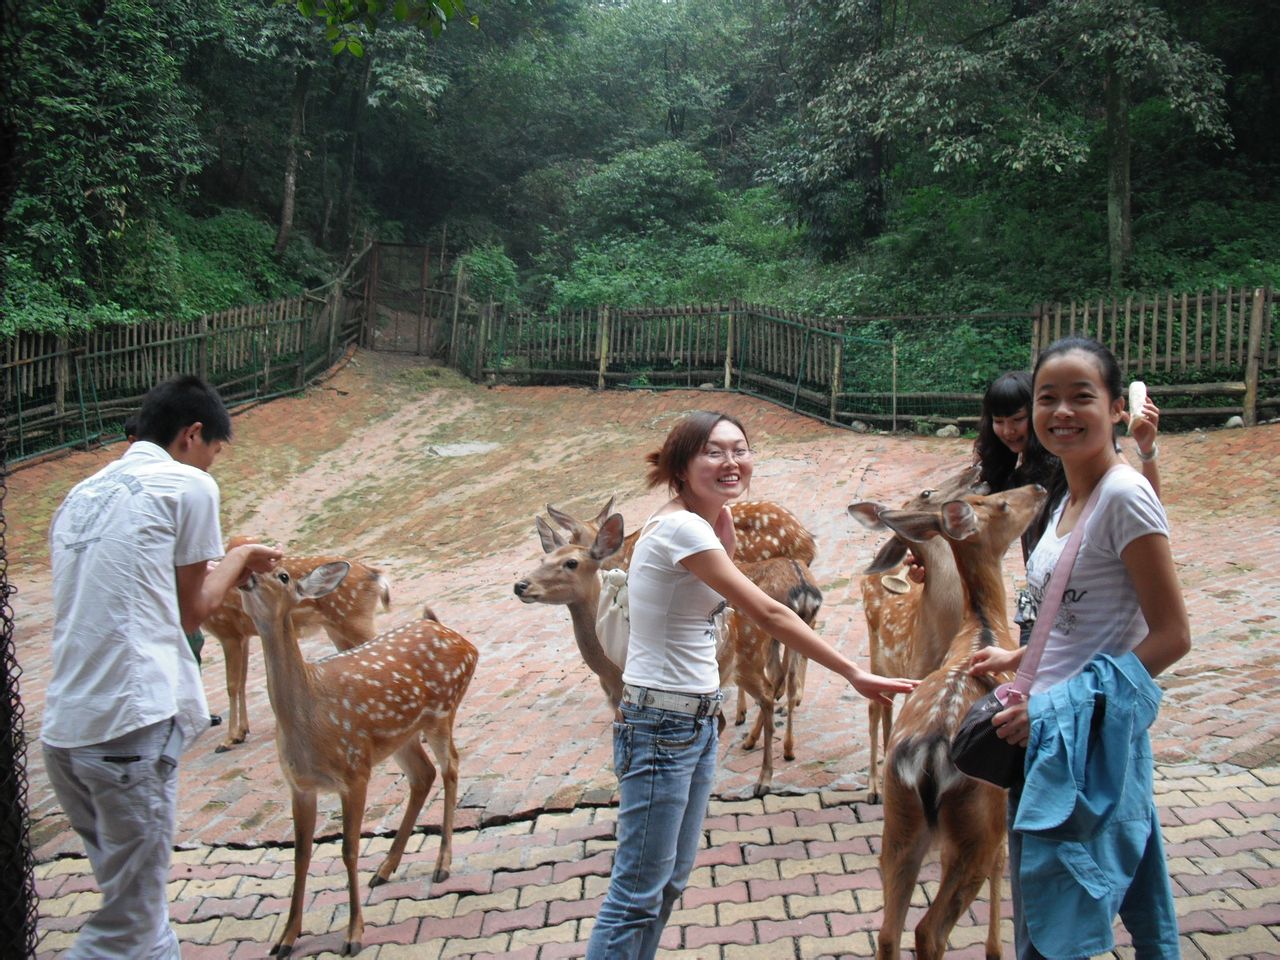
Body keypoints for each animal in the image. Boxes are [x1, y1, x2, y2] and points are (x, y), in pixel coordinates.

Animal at [199, 535, 386, 752]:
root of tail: (375, 574)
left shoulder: (228, 633)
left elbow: (232, 685)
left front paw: (227, 740)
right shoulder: (243, 635)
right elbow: (242, 682)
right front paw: (241, 733)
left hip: (355, 619)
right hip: (339, 630)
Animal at [235, 560, 476, 957]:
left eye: (283, 576)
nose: (246, 579)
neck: (309, 719)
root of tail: (454, 635)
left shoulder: (354, 771)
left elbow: (349, 849)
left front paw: (353, 934)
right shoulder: (300, 785)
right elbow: (301, 855)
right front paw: (286, 938)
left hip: (442, 711)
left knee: (451, 767)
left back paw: (442, 863)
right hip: (398, 738)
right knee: (423, 775)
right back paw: (385, 868)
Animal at [849, 465, 977, 803]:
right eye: (927, 492)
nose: (973, 467)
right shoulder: (915, 672)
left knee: (886, 707)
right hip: (878, 655)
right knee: (874, 706)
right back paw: (873, 787)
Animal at [875, 483, 1044, 960]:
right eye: (1002, 503)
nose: (1040, 486)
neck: (982, 628)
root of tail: (929, 755)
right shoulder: (1002, 797)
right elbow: (1005, 858)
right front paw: (996, 948)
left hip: (900, 818)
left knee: (888, 931)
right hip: (973, 818)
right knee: (929, 929)